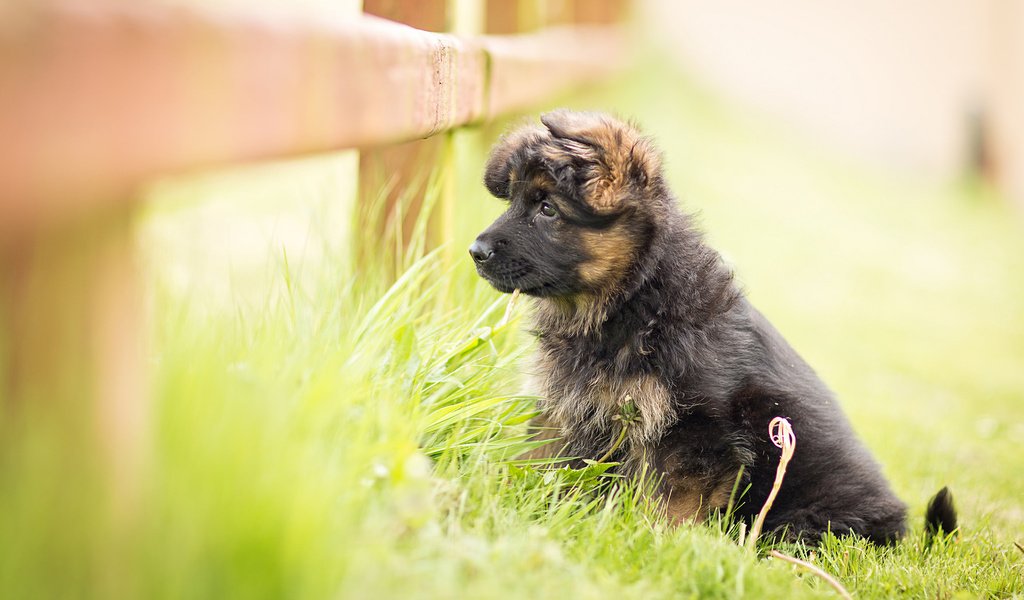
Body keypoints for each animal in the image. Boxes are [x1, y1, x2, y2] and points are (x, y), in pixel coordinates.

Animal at [468, 108, 954, 540]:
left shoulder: (693, 432)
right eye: (514, 200)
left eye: (547, 208)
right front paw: (521, 500)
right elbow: (544, 461)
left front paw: (653, 543)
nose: (476, 251)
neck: (638, 296)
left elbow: (669, 505)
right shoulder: (567, 407)